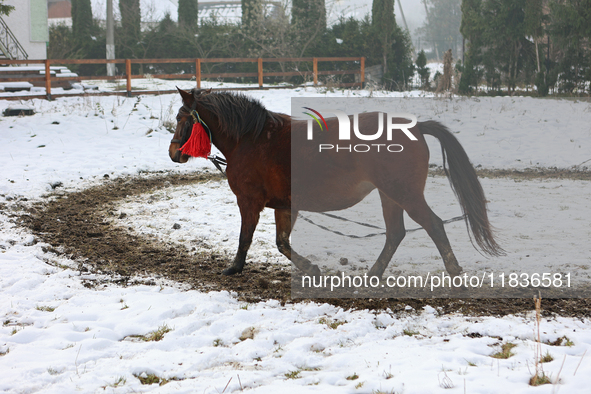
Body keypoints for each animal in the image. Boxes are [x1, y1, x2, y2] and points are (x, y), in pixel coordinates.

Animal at [168, 88, 504, 280]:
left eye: (182, 118)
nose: (173, 153)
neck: (251, 139)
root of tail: (416, 126)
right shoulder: (285, 205)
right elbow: (282, 243)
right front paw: (311, 269)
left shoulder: (249, 201)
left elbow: (245, 239)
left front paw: (234, 268)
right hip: (390, 196)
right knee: (396, 233)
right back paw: (373, 274)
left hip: (404, 194)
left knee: (433, 225)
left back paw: (454, 272)